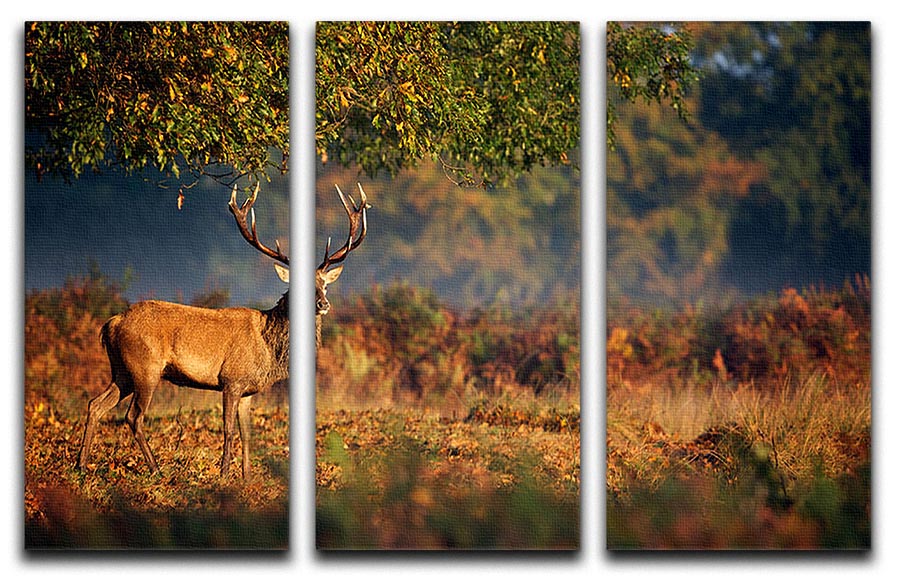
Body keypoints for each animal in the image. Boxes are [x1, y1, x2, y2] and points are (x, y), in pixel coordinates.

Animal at [77, 182, 368, 478]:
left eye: (325, 284)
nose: (323, 304)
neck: (268, 349)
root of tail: (111, 324)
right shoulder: (231, 379)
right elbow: (228, 430)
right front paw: (224, 473)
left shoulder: (249, 390)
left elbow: (247, 433)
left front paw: (247, 476)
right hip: (145, 368)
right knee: (133, 416)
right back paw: (156, 469)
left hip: (122, 371)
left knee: (95, 405)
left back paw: (81, 465)